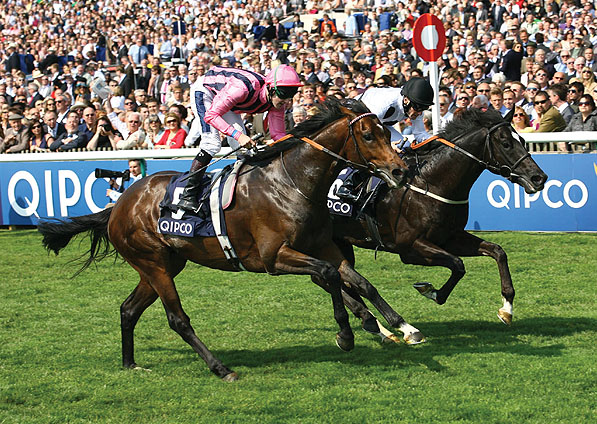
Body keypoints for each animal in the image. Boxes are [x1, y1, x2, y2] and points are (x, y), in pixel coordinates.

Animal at [38, 98, 410, 380]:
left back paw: (130, 364)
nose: (400, 170)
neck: (292, 183)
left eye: (387, 130)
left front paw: (400, 326)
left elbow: (359, 281)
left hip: (163, 265)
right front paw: (346, 335)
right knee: (178, 319)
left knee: (128, 309)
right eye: (368, 135)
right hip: (153, 263)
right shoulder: (274, 257)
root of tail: (119, 204)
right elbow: (331, 275)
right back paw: (221, 368)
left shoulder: (323, 246)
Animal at [332, 108, 548, 338]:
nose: (539, 178)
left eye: (523, 140)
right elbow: (458, 264)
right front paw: (432, 292)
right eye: (506, 143)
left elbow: (497, 251)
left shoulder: (450, 237)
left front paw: (507, 308)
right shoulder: (409, 248)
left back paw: (375, 325)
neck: (432, 182)